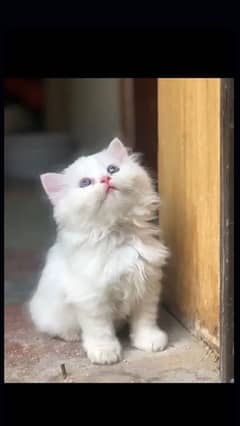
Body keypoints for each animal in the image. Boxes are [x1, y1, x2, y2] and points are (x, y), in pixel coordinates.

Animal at [29, 138, 170, 364]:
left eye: (112, 169)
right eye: (85, 183)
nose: (106, 178)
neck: (119, 235)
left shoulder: (147, 284)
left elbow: (145, 319)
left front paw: (149, 340)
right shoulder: (91, 298)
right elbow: (100, 330)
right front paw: (105, 352)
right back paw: (72, 335)